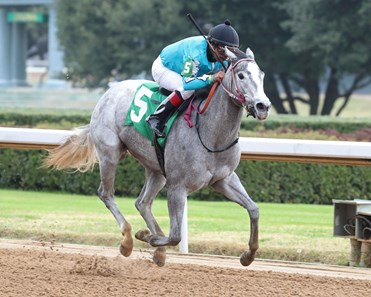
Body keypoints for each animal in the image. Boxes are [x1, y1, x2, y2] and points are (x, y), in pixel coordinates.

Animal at [43, 46, 272, 266]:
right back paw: (128, 240)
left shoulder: (224, 179)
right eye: (241, 75)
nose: (263, 106)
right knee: (106, 194)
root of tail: (111, 91)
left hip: (156, 169)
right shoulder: (177, 186)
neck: (212, 134)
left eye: (261, 74)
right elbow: (175, 236)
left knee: (142, 202)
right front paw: (147, 237)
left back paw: (157, 249)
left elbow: (254, 209)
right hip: (110, 153)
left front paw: (248, 255)